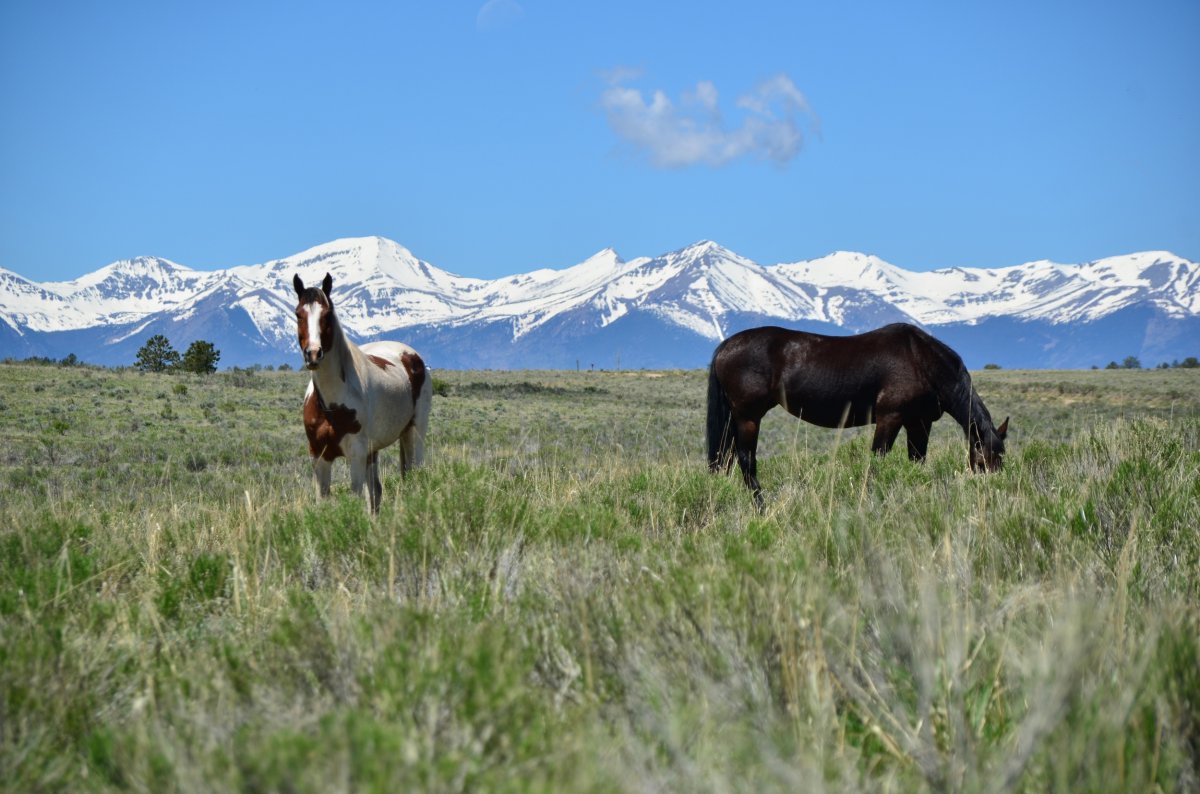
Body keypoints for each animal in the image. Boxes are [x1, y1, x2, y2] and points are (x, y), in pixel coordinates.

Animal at [294, 272, 434, 510]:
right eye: (298, 314)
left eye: (327, 314)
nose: (313, 354)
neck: (331, 405)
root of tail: (412, 356)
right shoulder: (319, 456)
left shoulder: (356, 455)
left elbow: (355, 499)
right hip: (373, 451)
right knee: (376, 493)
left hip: (414, 432)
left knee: (414, 475)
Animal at [705, 321, 1008, 503]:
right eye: (983, 463)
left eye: (1001, 461)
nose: (992, 495)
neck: (920, 359)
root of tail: (725, 346)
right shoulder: (890, 418)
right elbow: (877, 461)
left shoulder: (919, 422)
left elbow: (917, 461)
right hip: (748, 418)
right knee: (746, 461)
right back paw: (762, 507)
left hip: (735, 419)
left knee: (725, 460)